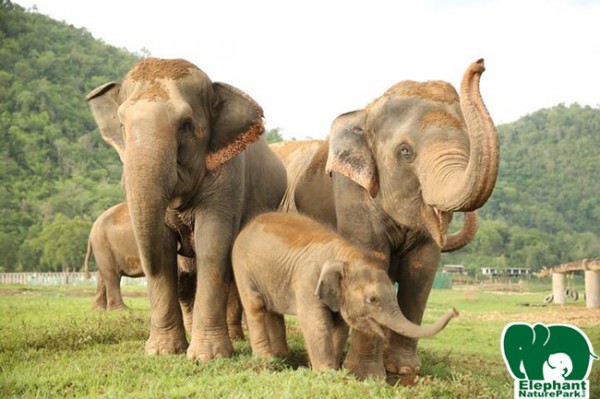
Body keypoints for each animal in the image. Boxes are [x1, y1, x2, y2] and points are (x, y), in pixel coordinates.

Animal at [85, 57, 288, 360]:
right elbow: (164, 249)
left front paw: (208, 356)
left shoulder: (228, 180)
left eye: (185, 125)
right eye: (121, 124)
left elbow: (213, 248)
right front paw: (163, 351)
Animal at [232, 214, 458, 374]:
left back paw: (282, 357)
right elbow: (316, 323)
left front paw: (332, 368)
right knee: (255, 305)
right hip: (242, 267)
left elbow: (340, 327)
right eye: (372, 299)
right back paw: (267, 360)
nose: (455, 310)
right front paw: (325, 373)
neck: (347, 256)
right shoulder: (307, 280)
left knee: (273, 311)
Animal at [272, 58, 496, 378]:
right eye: (405, 151)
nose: (480, 63)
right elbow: (371, 256)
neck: (365, 112)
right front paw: (364, 375)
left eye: (468, 146)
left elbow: (421, 269)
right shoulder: (350, 190)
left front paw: (403, 370)